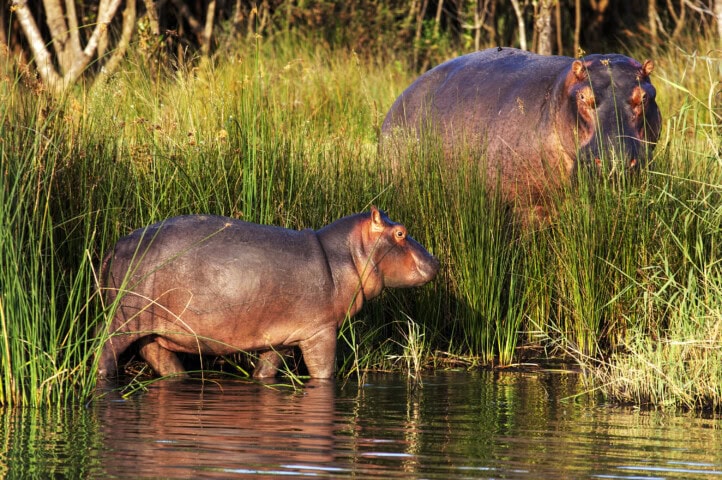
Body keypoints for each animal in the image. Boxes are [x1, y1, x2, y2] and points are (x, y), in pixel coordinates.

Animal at [97, 207, 440, 380]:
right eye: (400, 233)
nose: (436, 260)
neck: (347, 254)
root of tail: (114, 247)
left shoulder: (284, 336)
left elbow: (266, 370)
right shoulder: (320, 331)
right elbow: (323, 371)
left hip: (152, 326)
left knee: (157, 354)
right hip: (124, 319)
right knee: (106, 349)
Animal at [381, 47, 662, 218]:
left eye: (645, 96)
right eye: (583, 96)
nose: (617, 161)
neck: (558, 96)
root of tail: (400, 98)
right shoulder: (526, 207)